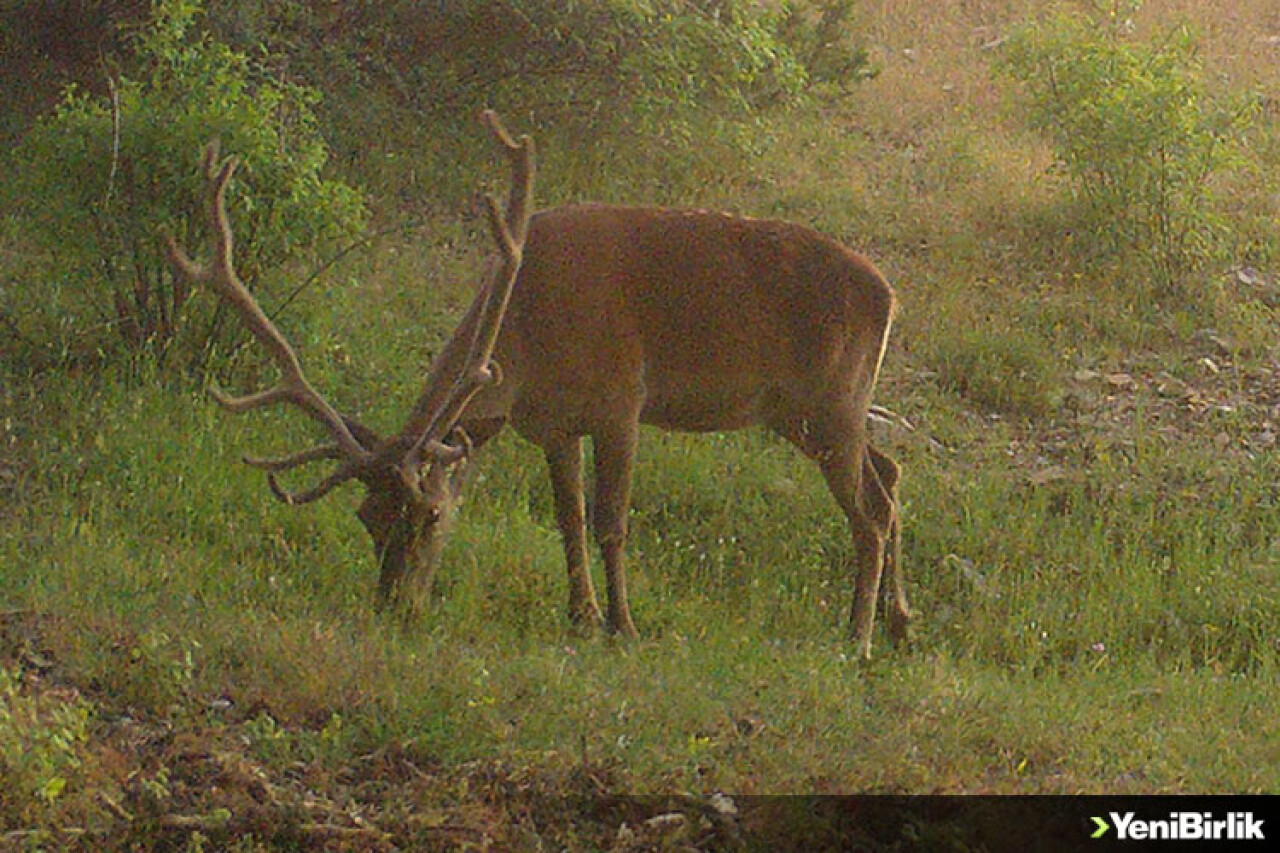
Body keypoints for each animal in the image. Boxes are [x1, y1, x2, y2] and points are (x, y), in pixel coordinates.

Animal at [167, 111, 911, 655]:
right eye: (366, 517)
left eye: (430, 514)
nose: (395, 606)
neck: (525, 345)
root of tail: (888, 292)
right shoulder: (554, 424)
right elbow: (568, 520)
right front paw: (580, 616)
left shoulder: (620, 399)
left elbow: (611, 522)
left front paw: (624, 626)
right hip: (807, 411)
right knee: (891, 471)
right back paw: (900, 623)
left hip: (831, 399)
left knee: (870, 510)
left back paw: (857, 637)